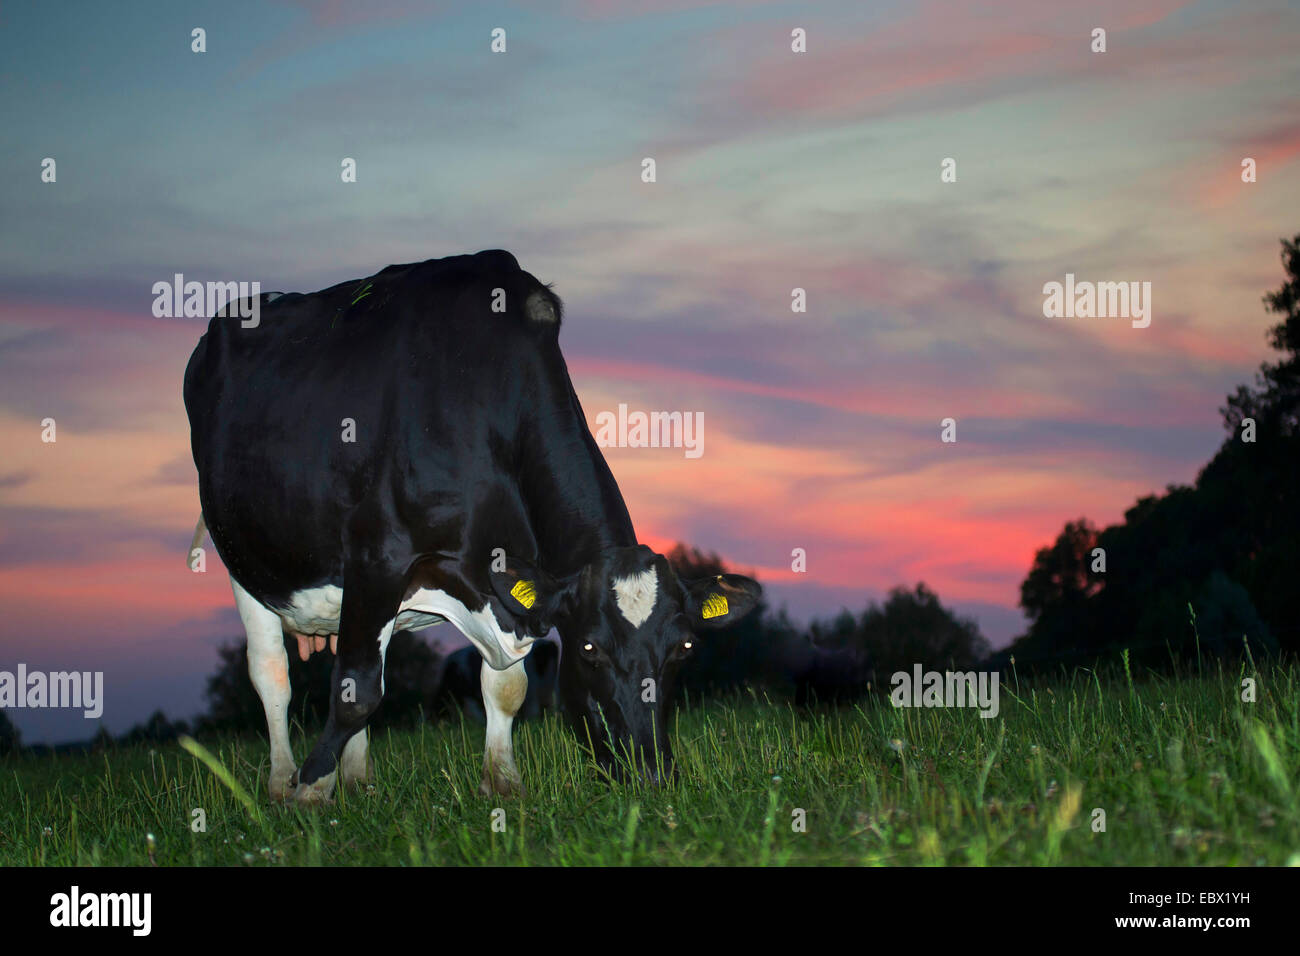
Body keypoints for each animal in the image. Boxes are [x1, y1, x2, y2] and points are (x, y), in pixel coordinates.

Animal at [188, 251, 764, 806]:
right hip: (245, 560)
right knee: (273, 675)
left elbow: (505, 688)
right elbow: (358, 689)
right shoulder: (378, 556)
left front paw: (502, 782)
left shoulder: (508, 585)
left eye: (684, 648)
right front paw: (309, 789)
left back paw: (358, 779)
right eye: (588, 649)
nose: (649, 774)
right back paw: (281, 779)